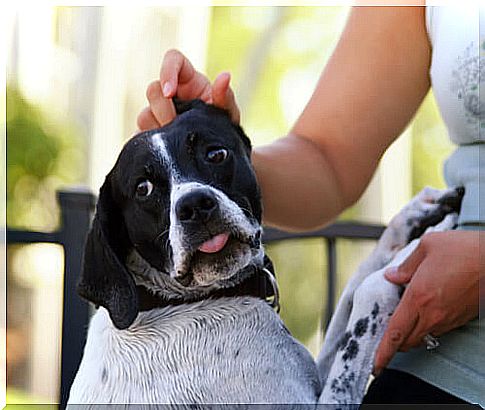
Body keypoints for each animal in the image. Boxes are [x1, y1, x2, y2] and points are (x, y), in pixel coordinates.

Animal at [67, 99, 462, 406]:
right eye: (143, 188)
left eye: (215, 153)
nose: (194, 205)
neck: (173, 303)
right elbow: (369, 291)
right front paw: (426, 244)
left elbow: (352, 290)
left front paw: (414, 219)